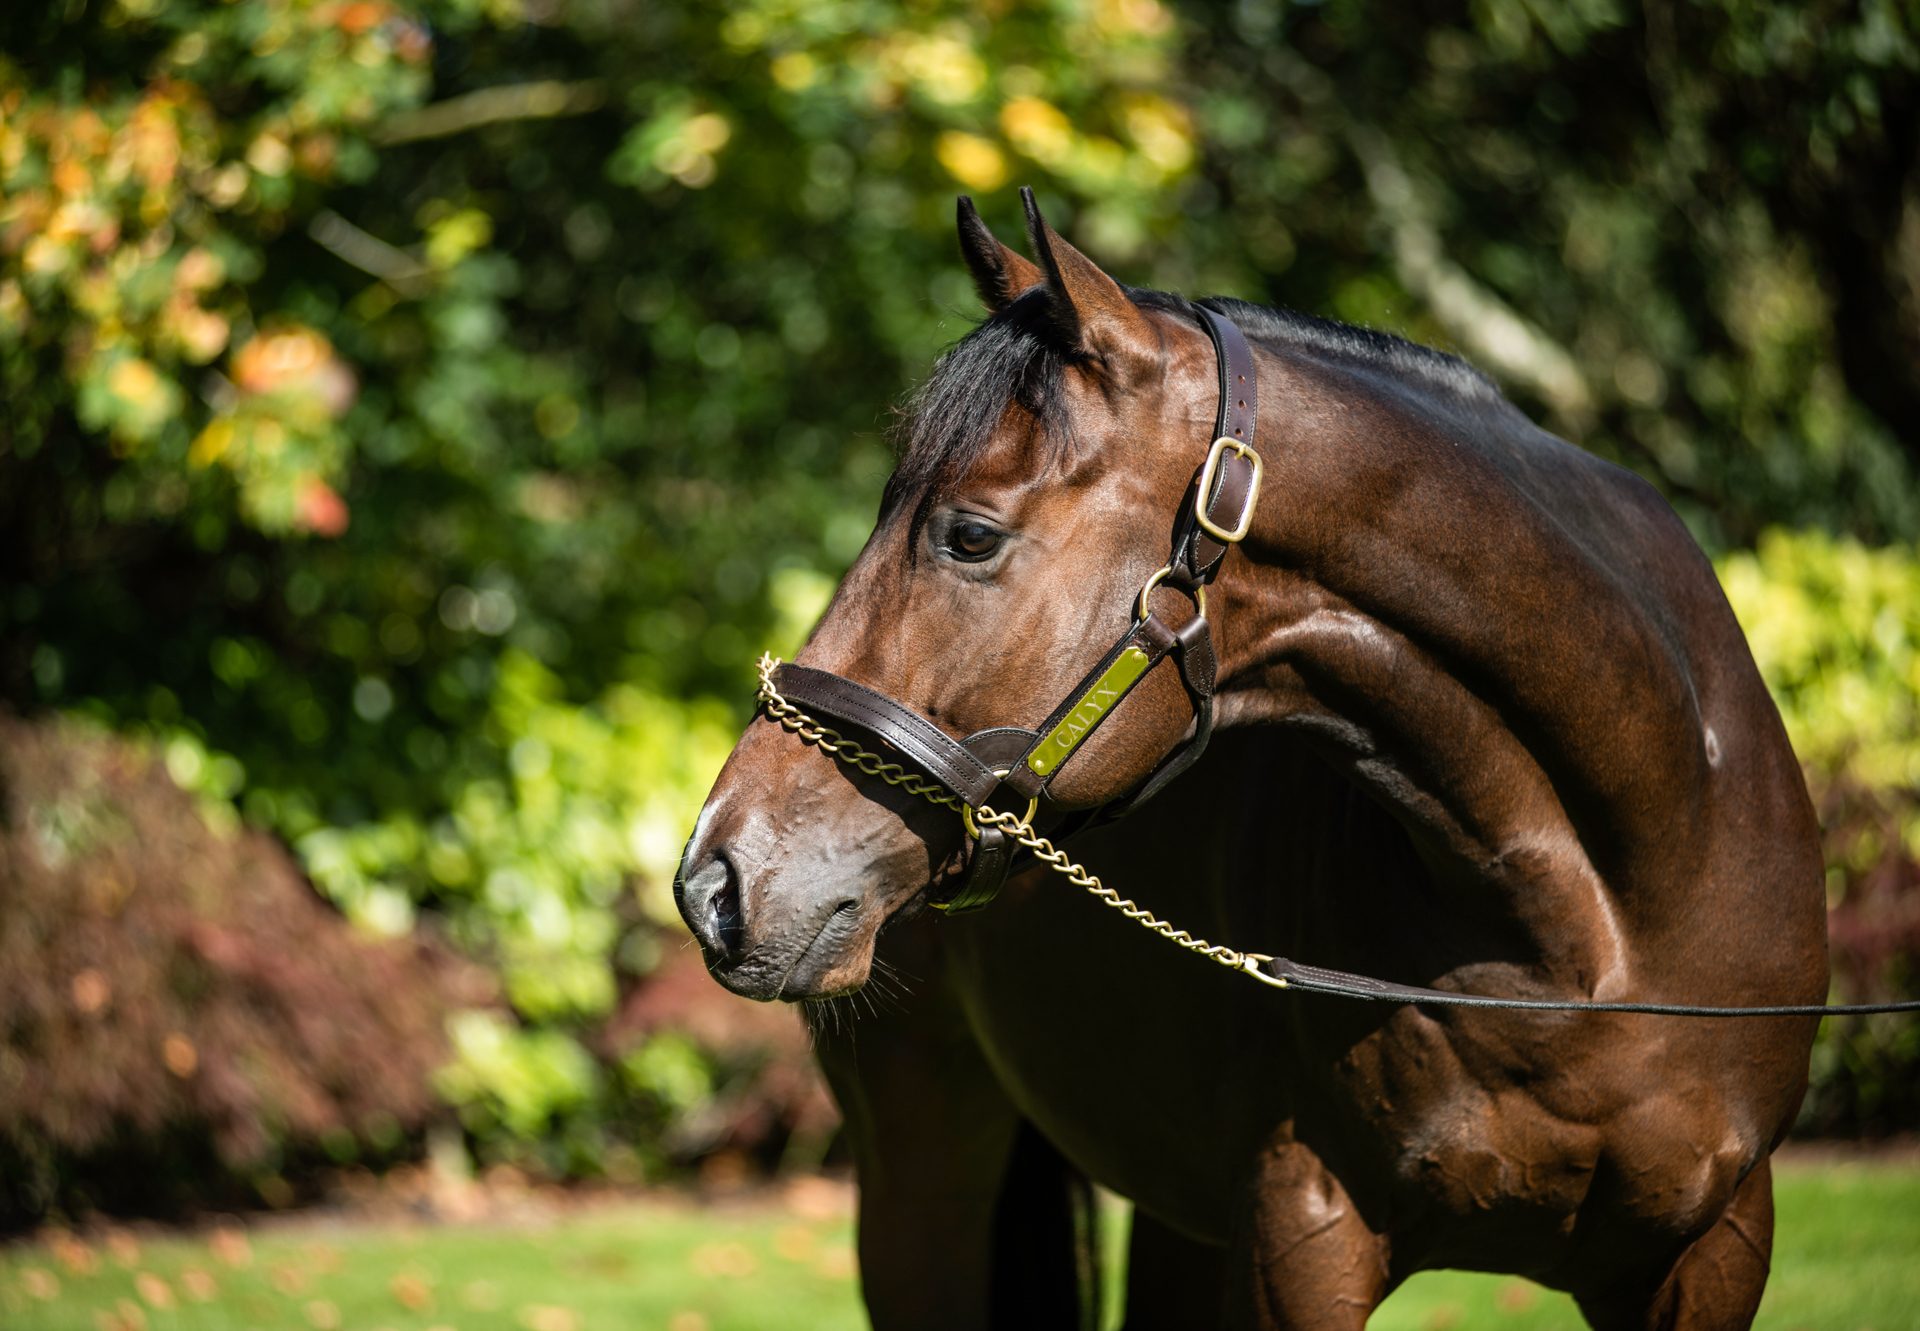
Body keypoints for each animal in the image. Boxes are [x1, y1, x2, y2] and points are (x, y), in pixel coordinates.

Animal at [679, 189, 1827, 1329]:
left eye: (969, 535)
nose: (716, 882)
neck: (1599, 927)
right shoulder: (1301, 1236)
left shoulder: (1716, 1246)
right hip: (922, 1176)